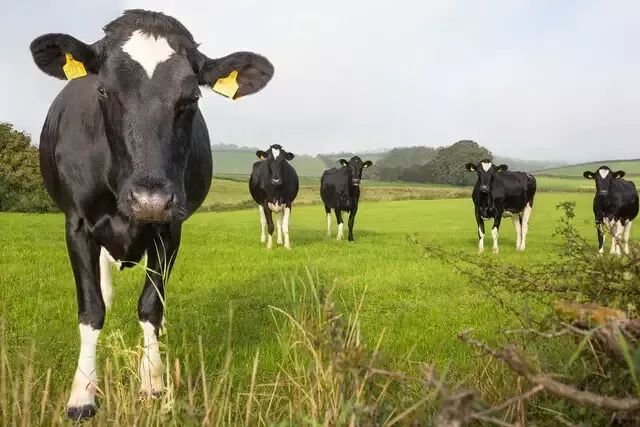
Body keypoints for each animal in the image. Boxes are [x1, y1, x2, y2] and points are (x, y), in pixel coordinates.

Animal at [28, 9, 274, 422]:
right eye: (102, 90)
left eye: (192, 97)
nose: (149, 200)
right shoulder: (76, 224)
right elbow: (91, 309)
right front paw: (82, 393)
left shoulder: (170, 228)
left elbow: (150, 306)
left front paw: (153, 383)